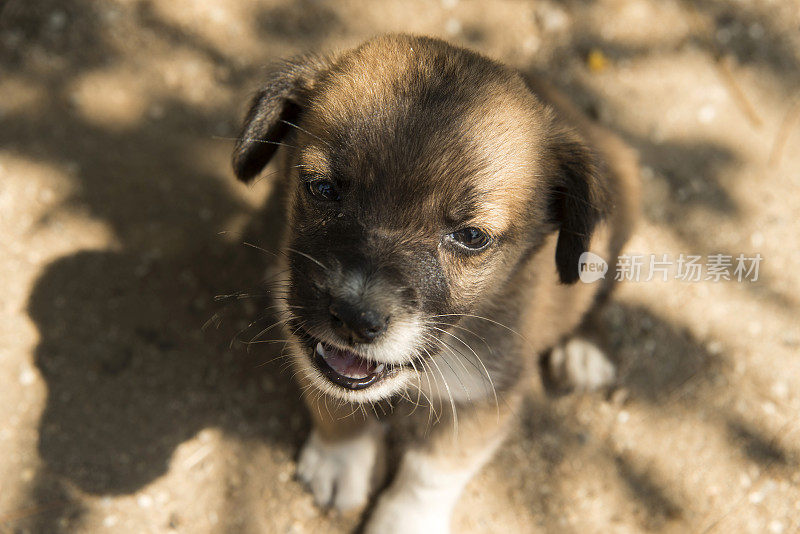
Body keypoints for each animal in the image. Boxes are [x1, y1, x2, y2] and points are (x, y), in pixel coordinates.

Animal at [230, 35, 636, 532]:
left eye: (472, 237)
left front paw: (402, 520)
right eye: (323, 189)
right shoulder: (301, 329)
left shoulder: (483, 395)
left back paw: (583, 350)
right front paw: (338, 461)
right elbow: (333, 400)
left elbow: (432, 472)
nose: (353, 319)